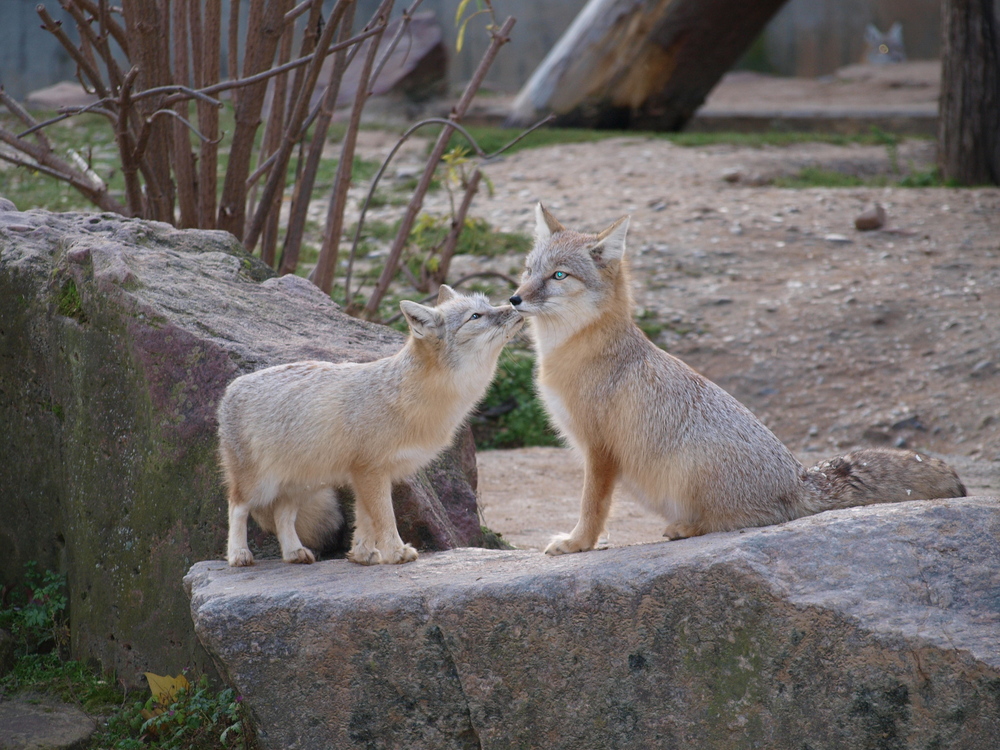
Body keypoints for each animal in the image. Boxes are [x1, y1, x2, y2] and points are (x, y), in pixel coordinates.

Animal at [218, 284, 524, 568]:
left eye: (488, 305)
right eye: (476, 316)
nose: (514, 304)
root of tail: (231, 388)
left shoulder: (365, 473)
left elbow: (365, 519)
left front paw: (362, 555)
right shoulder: (371, 470)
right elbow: (384, 517)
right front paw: (396, 552)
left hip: (303, 484)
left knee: (282, 514)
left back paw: (294, 552)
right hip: (260, 485)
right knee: (236, 506)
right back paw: (238, 554)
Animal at [512, 206, 964, 560]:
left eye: (558, 275)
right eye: (528, 271)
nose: (514, 299)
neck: (572, 352)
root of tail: (799, 479)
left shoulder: (600, 450)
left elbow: (592, 506)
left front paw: (578, 543)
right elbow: (598, 507)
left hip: (689, 466)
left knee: (741, 521)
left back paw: (686, 527)